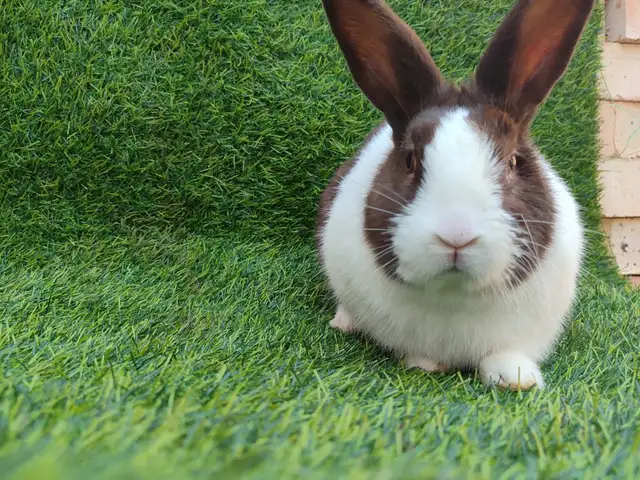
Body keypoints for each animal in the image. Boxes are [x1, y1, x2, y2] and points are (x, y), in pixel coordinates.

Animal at [316, 0, 596, 391]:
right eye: (409, 159)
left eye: (513, 161)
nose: (457, 236)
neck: (455, 295)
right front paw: (426, 364)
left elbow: (507, 353)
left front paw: (516, 379)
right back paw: (343, 321)